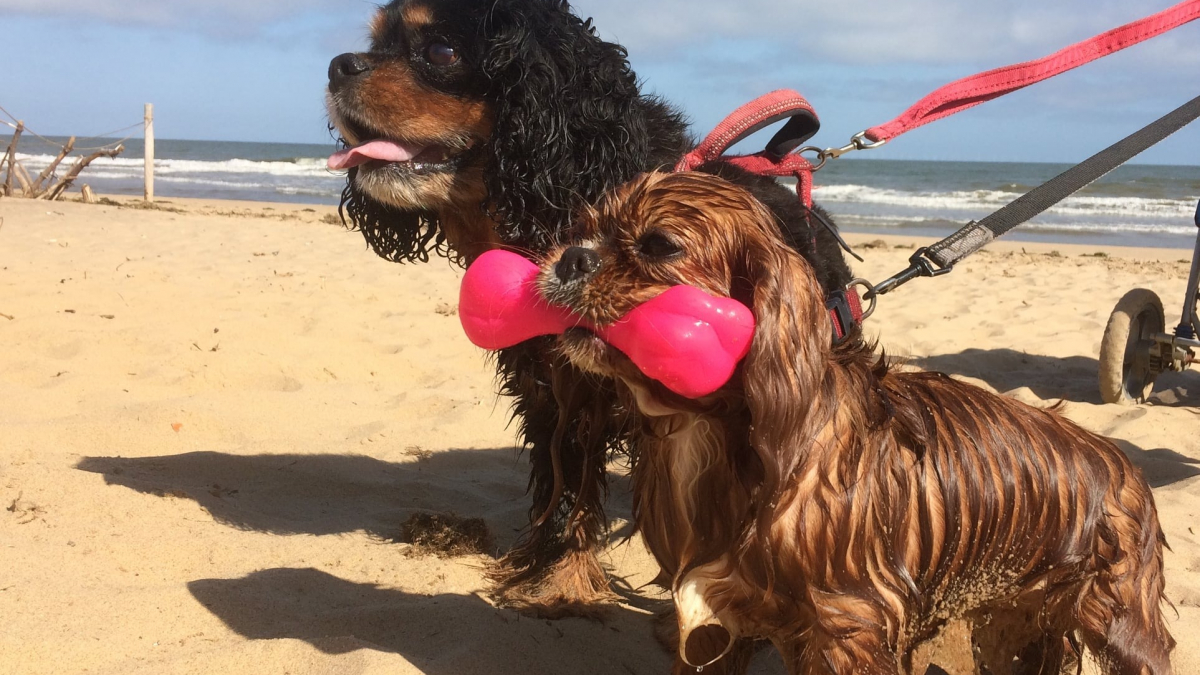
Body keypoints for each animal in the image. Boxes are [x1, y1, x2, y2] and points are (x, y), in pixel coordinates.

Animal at [542, 169, 1171, 672]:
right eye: (581, 228)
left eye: (659, 245)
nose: (571, 257)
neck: (720, 431)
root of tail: (1122, 463)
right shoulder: (720, 624)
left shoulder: (851, 627)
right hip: (1009, 625)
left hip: (1120, 625)